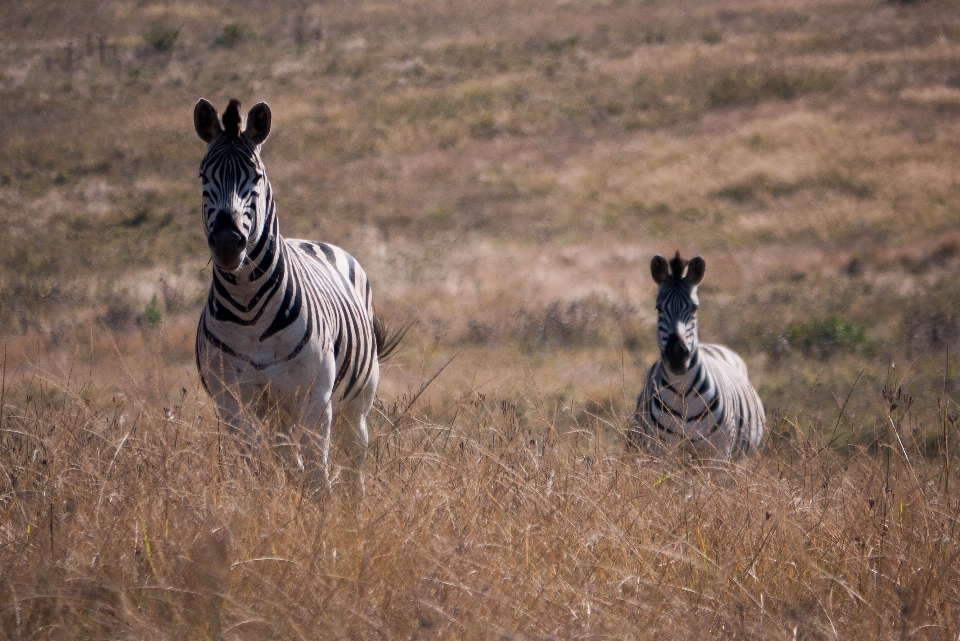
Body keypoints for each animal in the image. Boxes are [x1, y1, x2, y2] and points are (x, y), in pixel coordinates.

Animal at [191, 97, 402, 492]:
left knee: (352, 466)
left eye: (256, 177)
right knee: (288, 461)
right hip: (277, 413)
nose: (227, 243)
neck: (247, 309)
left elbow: (318, 479)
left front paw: (316, 509)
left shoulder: (315, 400)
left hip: (354, 405)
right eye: (203, 176)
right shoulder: (232, 403)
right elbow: (254, 470)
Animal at [632, 252, 764, 458]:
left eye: (694, 308)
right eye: (658, 308)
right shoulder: (662, 451)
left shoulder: (719, 453)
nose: (677, 357)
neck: (682, 392)